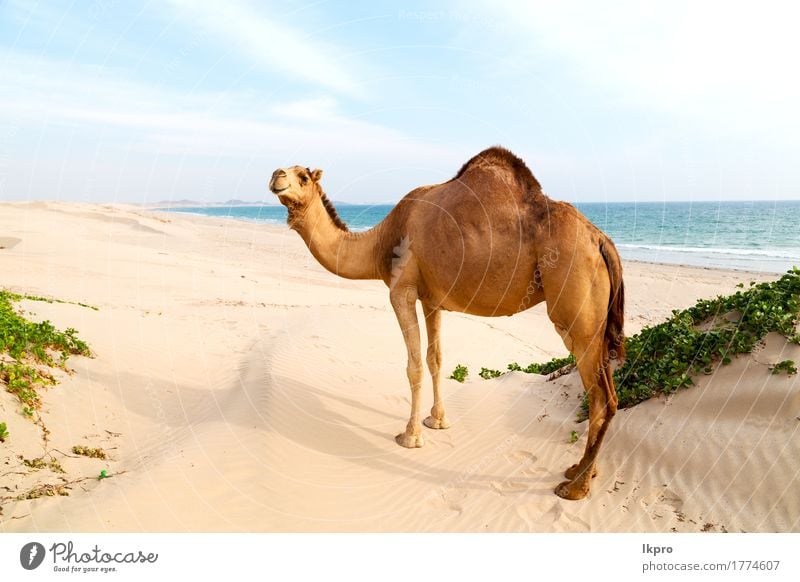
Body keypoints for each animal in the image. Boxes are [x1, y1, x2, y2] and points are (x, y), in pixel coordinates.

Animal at [268, 147, 624, 502]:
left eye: (303, 176)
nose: (276, 176)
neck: (381, 242)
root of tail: (601, 240)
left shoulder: (401, 291)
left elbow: (413, 365)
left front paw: (410, 436)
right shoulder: (431, 299)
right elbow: (435, 359)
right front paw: (437, 421)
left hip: (576, 313)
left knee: (599, 398)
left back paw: (575, 487)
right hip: (598, 325)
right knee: (608, 393)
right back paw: (580, 470)